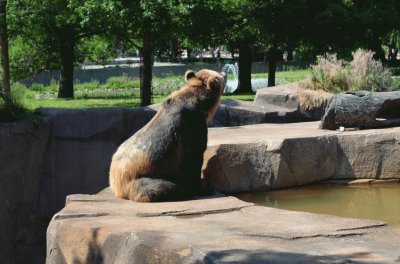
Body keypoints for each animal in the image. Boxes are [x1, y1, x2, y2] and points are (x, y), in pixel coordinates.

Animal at [109, 68, 227, 202]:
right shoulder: (191, 125)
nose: (225, 73)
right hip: (139, 179)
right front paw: (203, 189)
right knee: (165, 187)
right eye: (219, 76)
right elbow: (193, 157)